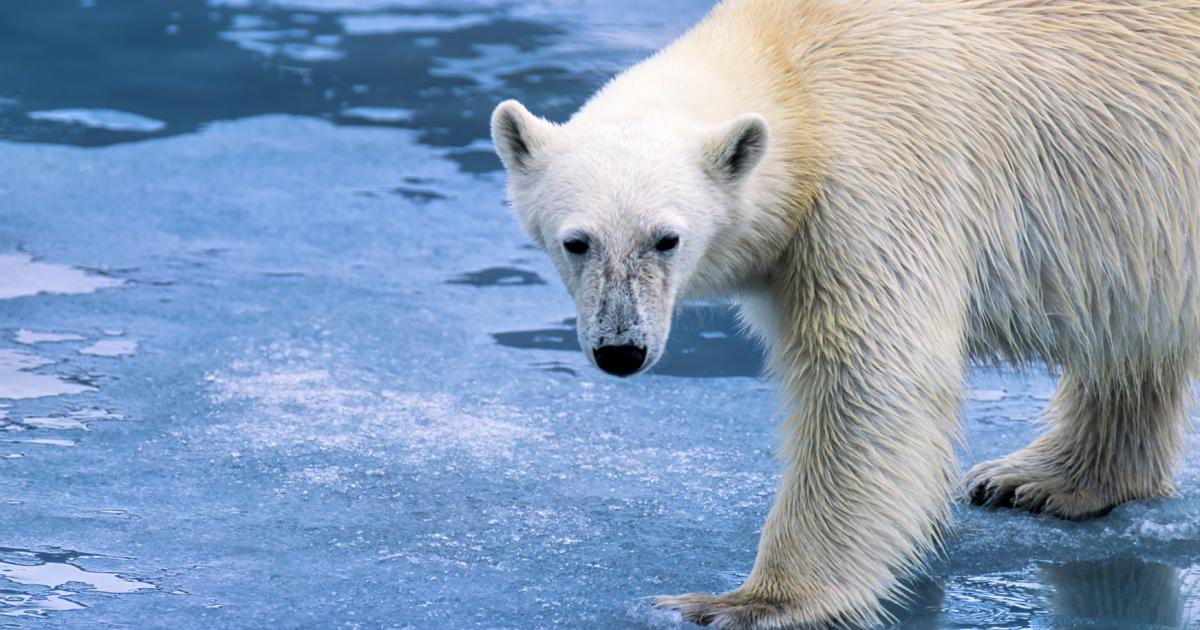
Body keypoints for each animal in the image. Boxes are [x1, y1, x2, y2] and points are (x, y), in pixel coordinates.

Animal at [487, 0, 1200, 624]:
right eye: (576, 241)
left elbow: (869, 381)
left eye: (667, 238)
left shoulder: (874, 181)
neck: (794, 71)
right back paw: (1041, 480)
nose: (621, 349)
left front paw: (746, 604)